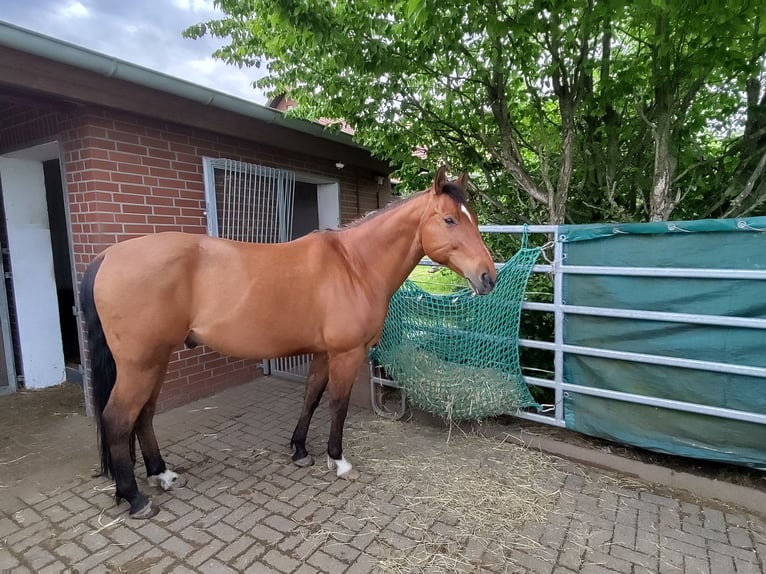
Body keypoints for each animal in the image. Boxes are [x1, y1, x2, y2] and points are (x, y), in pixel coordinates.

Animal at [79, 166, 497, 519]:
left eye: (473, 218)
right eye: (449, 219)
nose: (488, 277)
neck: (354, 265)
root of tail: (107, 256)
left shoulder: (323, 353)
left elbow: (311, 396)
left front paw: (299, 450)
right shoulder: (346, 353)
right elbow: (338, 404)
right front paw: (337, 460)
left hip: (157, 360)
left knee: (144, 415)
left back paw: (161, 474)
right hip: (141, 363)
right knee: (118, 418)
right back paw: (135, 498)